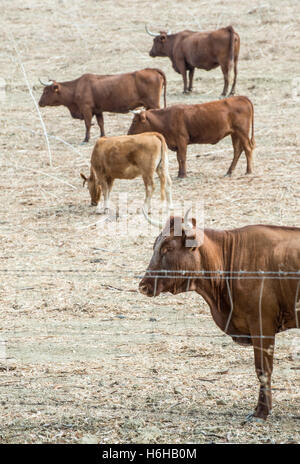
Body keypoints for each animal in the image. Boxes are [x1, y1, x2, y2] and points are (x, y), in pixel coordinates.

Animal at [38, 68, 166, 142]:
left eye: (46, 91)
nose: (39, 103)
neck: (77, 87)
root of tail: (151, 70)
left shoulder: (86, 109)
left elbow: (88, 124)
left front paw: (86, 139)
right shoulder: (98, 110)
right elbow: (101, 124)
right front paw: (102, 136)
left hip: (154, 104)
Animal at [139, 209, 300, 420]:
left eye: (167, 248)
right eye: (155, 246)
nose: (143, 285)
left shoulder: (262, 324)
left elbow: (263, 370)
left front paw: (262, 412)